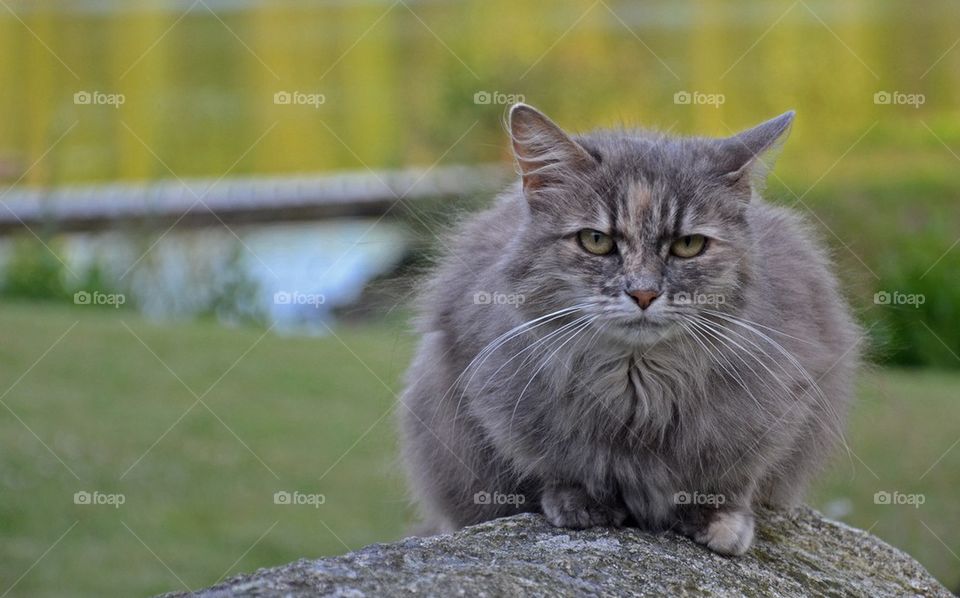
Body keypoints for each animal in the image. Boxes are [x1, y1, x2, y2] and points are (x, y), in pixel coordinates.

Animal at [398, 103, 856, 556]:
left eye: (688, 245)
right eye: (596, 240)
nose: (643, 293)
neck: (638, 384)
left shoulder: (776, 408)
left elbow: (731, 480)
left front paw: (720, 522)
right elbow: (557, 468)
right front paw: (581, 504)